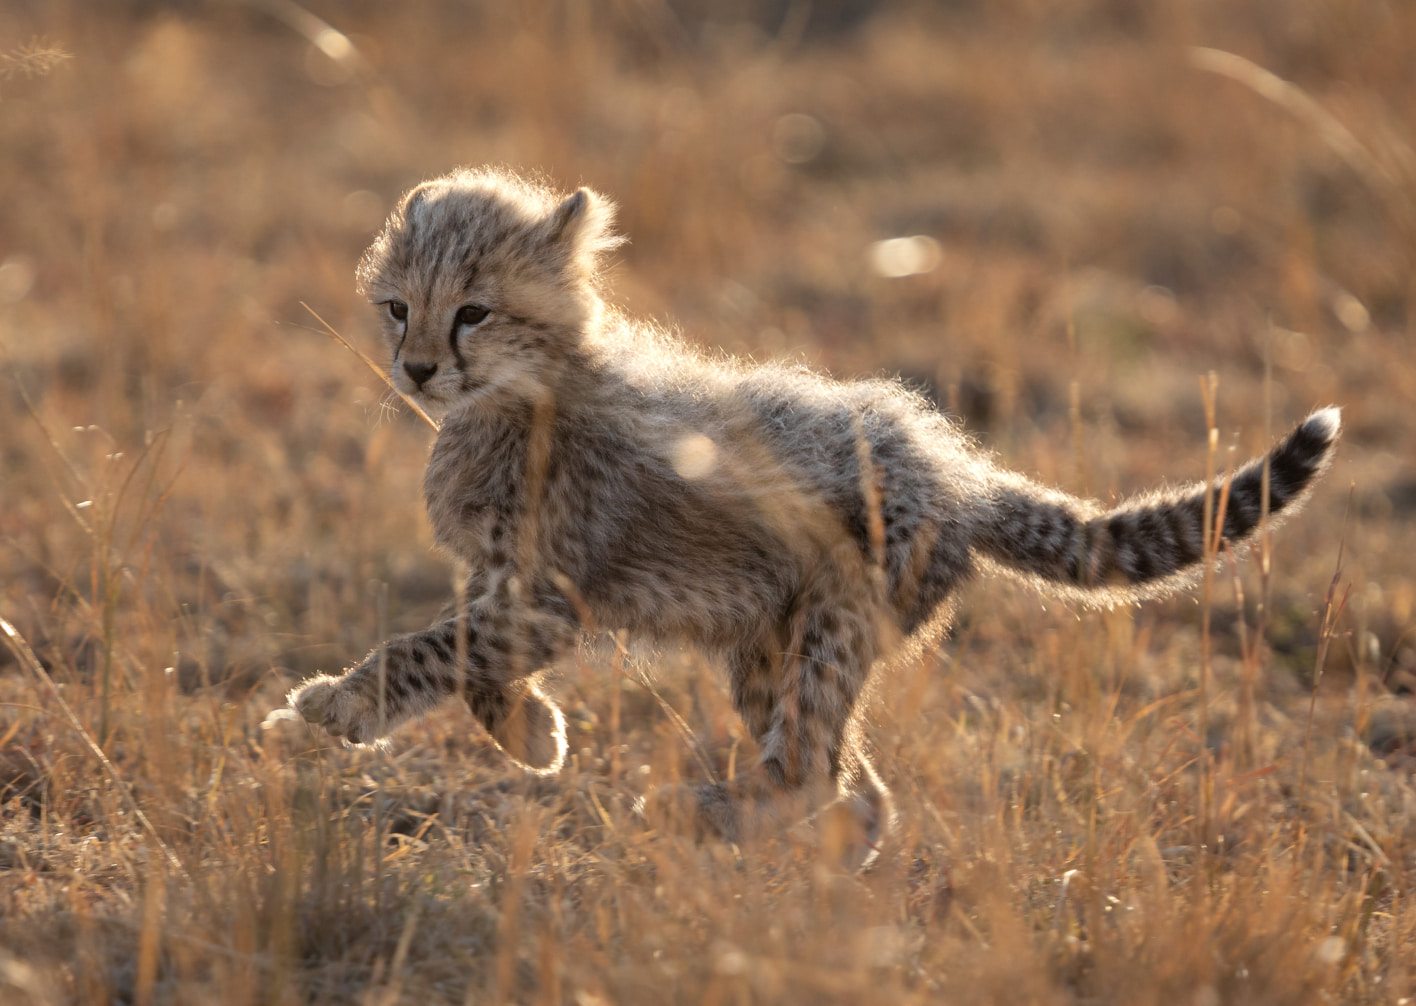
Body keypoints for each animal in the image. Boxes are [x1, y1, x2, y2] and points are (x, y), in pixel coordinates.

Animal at [288, 166, 1341, 859]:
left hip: (836, 622)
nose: (418, 368)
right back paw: (816, 863)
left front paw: (340, 704)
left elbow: (434, 650)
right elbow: (473, 668)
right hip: (768, 645)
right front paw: (533, 734)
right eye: (397, 307)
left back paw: (701, 816)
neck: (526, 393)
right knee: (853, 790)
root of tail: (957, 469)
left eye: (473, 311)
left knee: (806, 771)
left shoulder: (543, 594)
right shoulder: (503, 583)